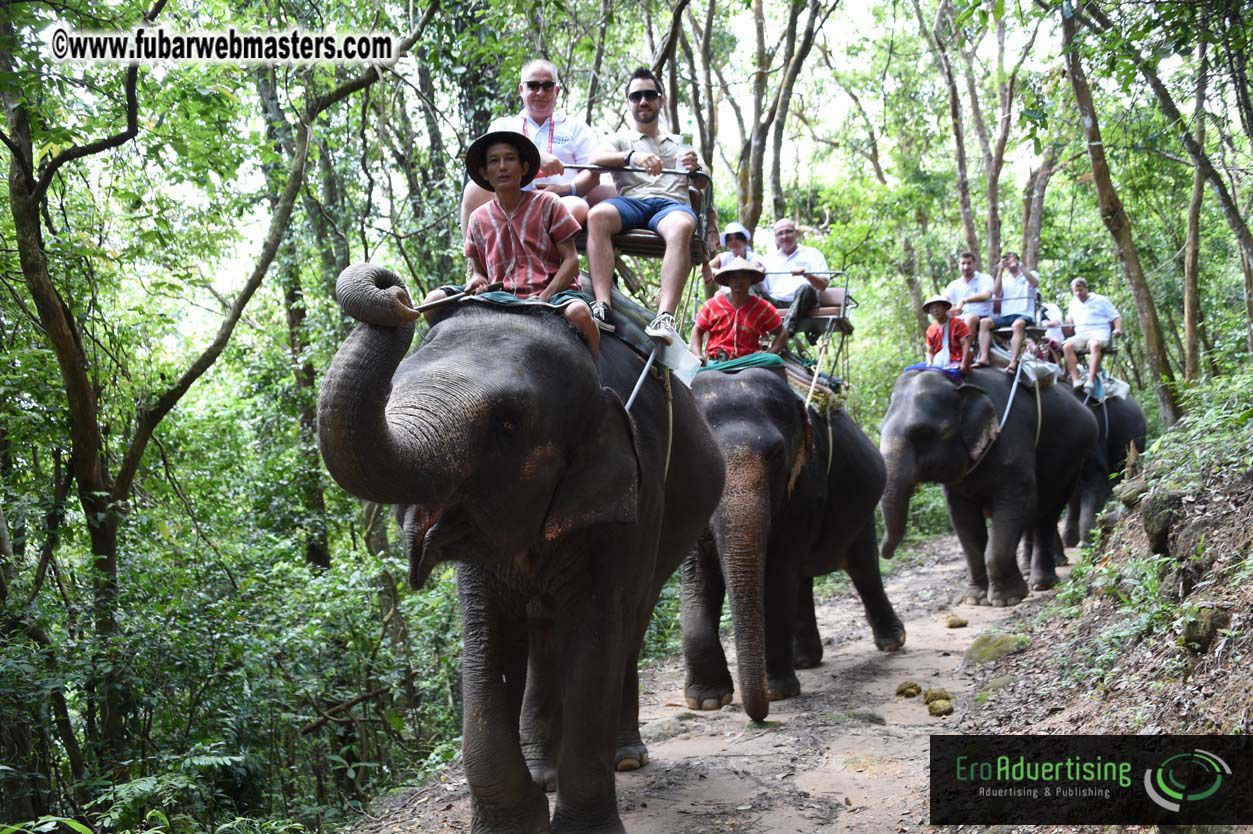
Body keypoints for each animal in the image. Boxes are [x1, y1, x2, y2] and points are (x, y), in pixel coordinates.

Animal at [317, 265, 724, 834]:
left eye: (508, 424)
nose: (392, 289)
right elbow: (487, 638)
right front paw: (518, 818)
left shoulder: (633, 494)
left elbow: (596, 632)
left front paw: (581, 827)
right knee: (543, 630)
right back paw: (542, 771)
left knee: (631, 623)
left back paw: (624, 758)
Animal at [681, 367, 906, 722]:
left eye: (776, 454)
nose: (758, 717)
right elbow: (698, 579)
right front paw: (708, 701)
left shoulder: (803, 487)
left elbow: (776, 575)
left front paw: (778, 692)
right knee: (802, 580)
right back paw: (805, 660)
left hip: (862, 509)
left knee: (863, 567)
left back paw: (892, 642)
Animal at [879, 367, 1098, 605]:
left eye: (922, 433)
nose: (886, 554)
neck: (959, 384)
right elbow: (963, 520)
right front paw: (976, 599)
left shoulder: (1012, 441)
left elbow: (1018, 502)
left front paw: (1007, 599)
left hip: (1073, 457)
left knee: (1047, 512)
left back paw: (1042, 583)